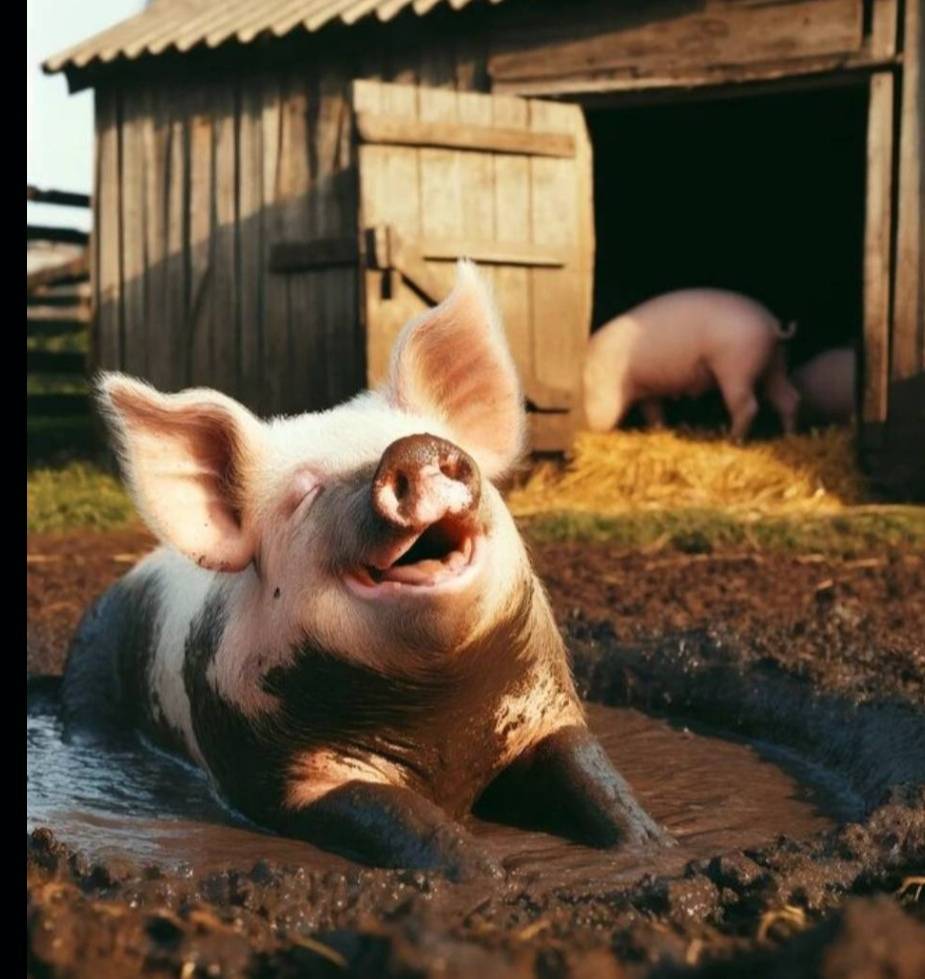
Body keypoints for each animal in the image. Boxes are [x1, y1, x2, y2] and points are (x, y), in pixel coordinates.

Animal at [61, 261, 669, 878]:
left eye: (433, 442)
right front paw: (484, 877)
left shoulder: (547, 706)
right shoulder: (290, 777)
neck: (439, 711)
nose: (413, 449)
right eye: (303, 494)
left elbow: (593, 777)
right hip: (90, 665)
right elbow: (404, 816)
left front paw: (654, 849)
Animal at [582, 288, 801, 441]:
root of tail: (772, 324)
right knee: (788, 398)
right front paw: (659, 431)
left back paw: (731, 440)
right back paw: (788, 437)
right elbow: (654, 414)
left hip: (736, 366)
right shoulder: (648, 392)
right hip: (776, 363)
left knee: (748, 406)